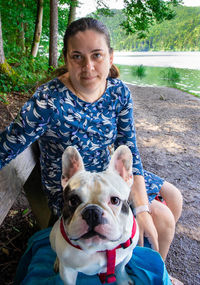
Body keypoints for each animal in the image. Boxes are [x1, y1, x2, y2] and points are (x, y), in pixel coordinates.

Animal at [50, 145, 139, 282]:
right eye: (73, 200)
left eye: (115, 200)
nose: (92, 212)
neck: (98, 247)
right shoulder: (67, 271)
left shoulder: (127, 254)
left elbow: (120, 268)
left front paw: (123, 280)